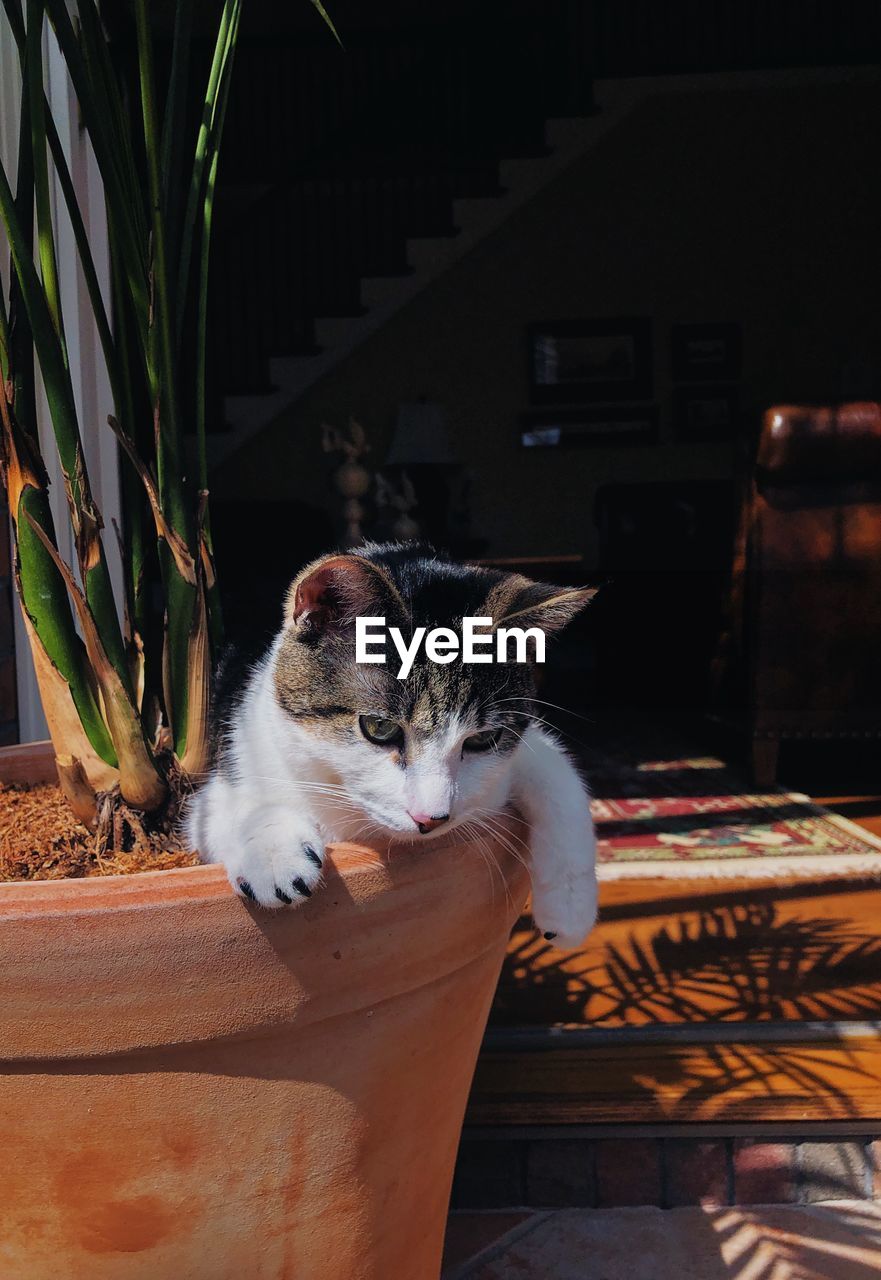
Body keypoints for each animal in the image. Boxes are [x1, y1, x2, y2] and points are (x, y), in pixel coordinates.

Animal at [185, 542, 599, 952]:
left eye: (482, 739)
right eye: (380, 727)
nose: (431, 818)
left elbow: (558, 777)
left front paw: (570, 905)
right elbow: (222, 812)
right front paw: (271, 849)